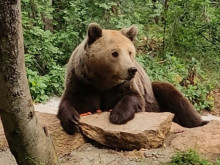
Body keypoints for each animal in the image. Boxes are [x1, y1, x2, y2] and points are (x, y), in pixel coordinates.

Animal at [57, 22, 208, 134]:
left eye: (130, 52)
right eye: (115, 53)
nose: (132, 69)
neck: (103, 81)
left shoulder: (123, 85)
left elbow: (133, 97)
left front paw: (117, 115)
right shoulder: (82, 82)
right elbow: (72, 101)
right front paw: (72, 120)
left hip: (153, 92)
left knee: (172, 95)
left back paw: (201, 123)